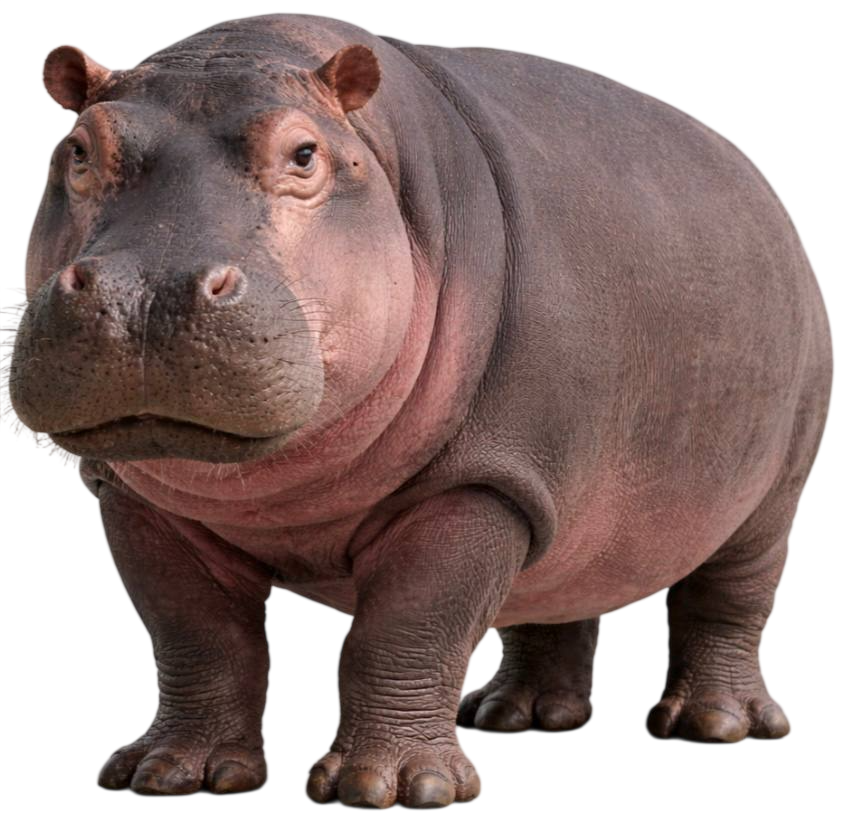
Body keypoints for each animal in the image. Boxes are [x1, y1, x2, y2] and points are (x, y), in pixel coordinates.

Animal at [3, 10, 834, 809]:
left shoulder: (477, 484)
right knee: (559, 589)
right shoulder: (138, 503)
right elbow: (194, 636)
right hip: (562, 490)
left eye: (304, 154)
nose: (144, 292)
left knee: (735, 590)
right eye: (79, 150)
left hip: (774, 484)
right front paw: (171, 771)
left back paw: (717, 722)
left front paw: (395, 787)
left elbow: (409, 627)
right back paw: (517, 714)